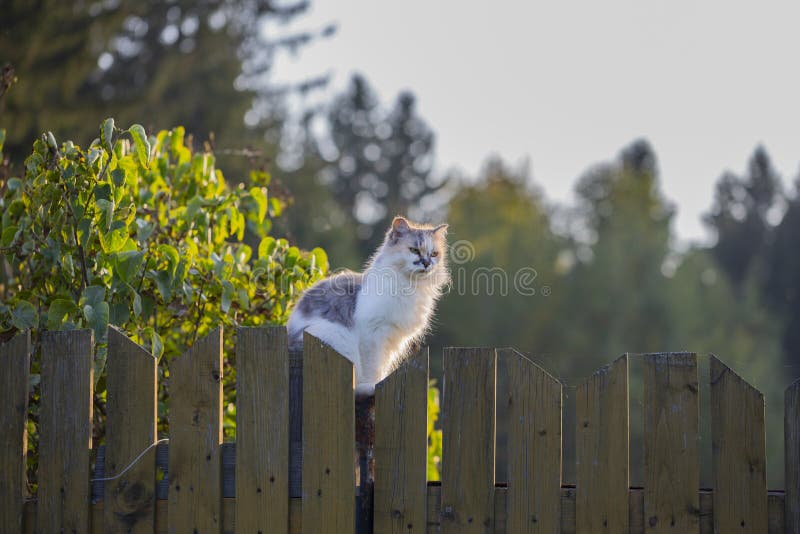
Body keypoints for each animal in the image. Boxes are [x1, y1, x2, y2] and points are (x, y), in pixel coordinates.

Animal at [286, 216, 450, 396]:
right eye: (414, 250)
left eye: (434, 254)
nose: (427, 263)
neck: (411, 286)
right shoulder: (372, 335)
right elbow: (372, 369)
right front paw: (371, 386)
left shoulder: (393, 341)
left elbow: (383, 366)